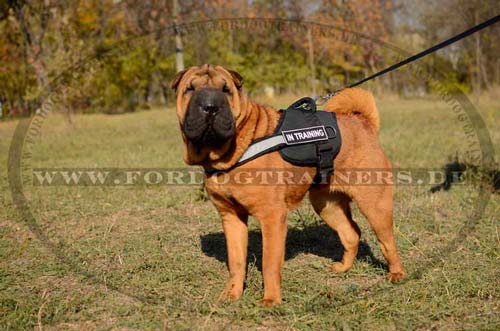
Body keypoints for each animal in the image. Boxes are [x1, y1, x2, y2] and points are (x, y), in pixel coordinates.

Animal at [170, 63, 404, 308]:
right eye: (190, 89)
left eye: (226, 90)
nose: (210, 106)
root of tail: (362, 122)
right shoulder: (231, 217)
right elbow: (236, 262)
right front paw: (232, 294)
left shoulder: (272, 216)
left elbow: (269, 263)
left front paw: (271, 300)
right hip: (326, 205)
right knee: (351, 232)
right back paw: (343, 268)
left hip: (374, 205)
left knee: (387, 240)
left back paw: (396, 274)